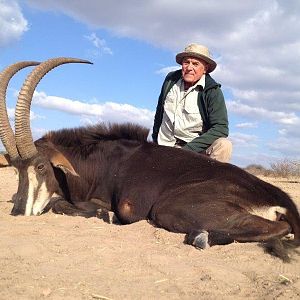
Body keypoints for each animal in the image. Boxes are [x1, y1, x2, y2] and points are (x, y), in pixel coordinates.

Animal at [0, 58, 298, 260]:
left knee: (279, 226)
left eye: (40, 166)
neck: (100, 161)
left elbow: (63, 204)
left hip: (169, 207)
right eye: (15, 170)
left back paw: (201, 237)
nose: (17, 213)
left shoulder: (127, 206)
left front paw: (103, 214)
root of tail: (281, 198)